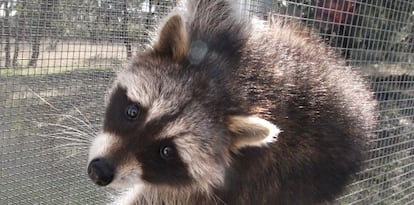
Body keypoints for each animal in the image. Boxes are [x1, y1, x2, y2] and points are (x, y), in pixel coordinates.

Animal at [85, 0, 376, 204]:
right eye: (133, 111)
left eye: (166, 151)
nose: (99, 171)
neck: (234, 90)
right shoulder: (218, 36)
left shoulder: (235, 181)